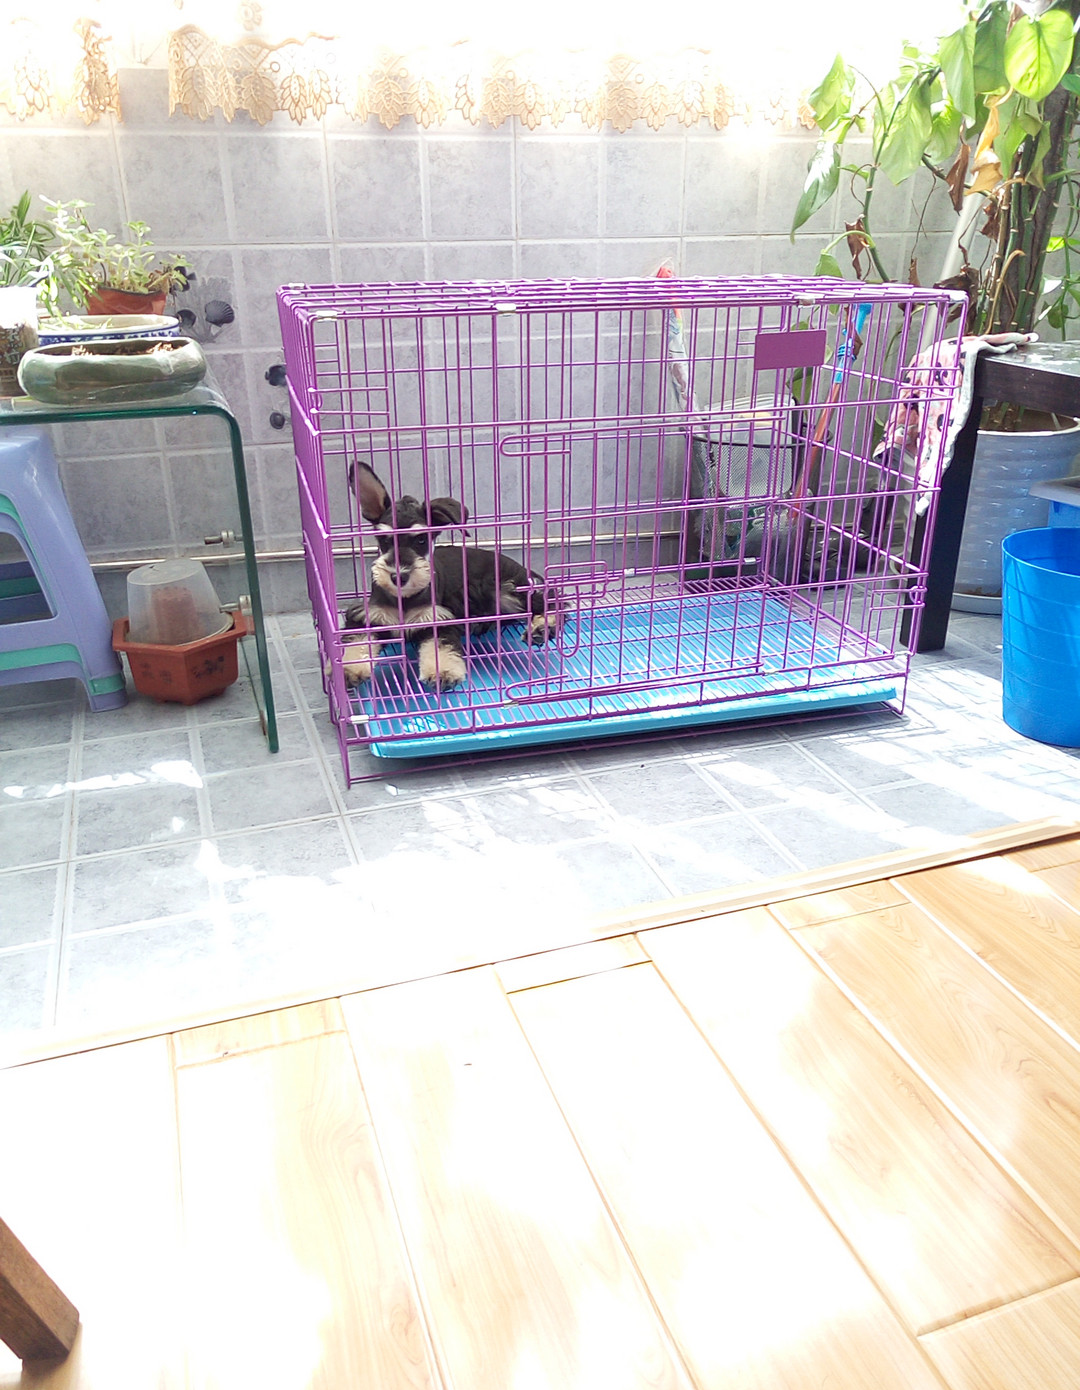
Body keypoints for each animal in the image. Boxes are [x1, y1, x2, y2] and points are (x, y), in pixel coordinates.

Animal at [341, 461, 561, 690]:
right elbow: (357, 643)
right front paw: (349, 670)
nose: (398, 577)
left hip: (507, 590)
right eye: (384, 539)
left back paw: (542, 628)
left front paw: (443, 672)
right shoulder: (368, 617)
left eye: (421, 540)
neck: (404, 598)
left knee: (553, 603)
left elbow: (440, 647)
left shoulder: (438, 619)